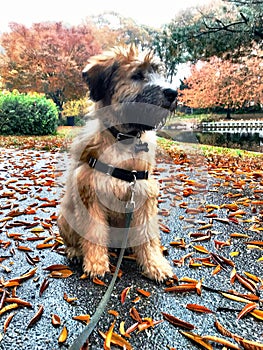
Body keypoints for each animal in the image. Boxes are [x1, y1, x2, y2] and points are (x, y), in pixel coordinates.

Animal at [57, 45, 177, 282]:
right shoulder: (91, 192)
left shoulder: (144, 193)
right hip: (65, 215)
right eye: (137, 75)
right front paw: (96, 263)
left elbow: (148, 236)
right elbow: (94, 232)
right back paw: (75, 252)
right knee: (73, 239)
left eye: (157, 72)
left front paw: (156, 265)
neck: (124, 138)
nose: (173, 93)